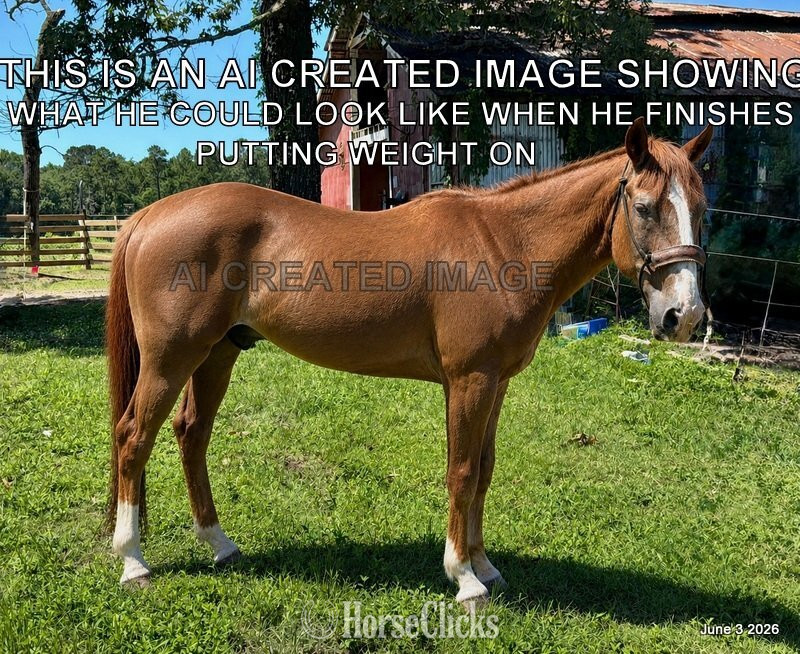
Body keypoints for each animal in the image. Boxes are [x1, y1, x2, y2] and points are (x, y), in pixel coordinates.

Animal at [106, 118, 713, 606]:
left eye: (701, 210)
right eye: (643, 208)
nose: (683, 316)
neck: (504, 245)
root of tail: (150, 215)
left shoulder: (495, 384)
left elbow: (484, 471)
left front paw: (486, 566)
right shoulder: (469, 381)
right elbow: (461, 471)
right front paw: (464, 578)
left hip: (217, 353)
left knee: (191, 434)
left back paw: (219, 544)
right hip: (171, 359)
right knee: (133, 437)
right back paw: (133, 561)